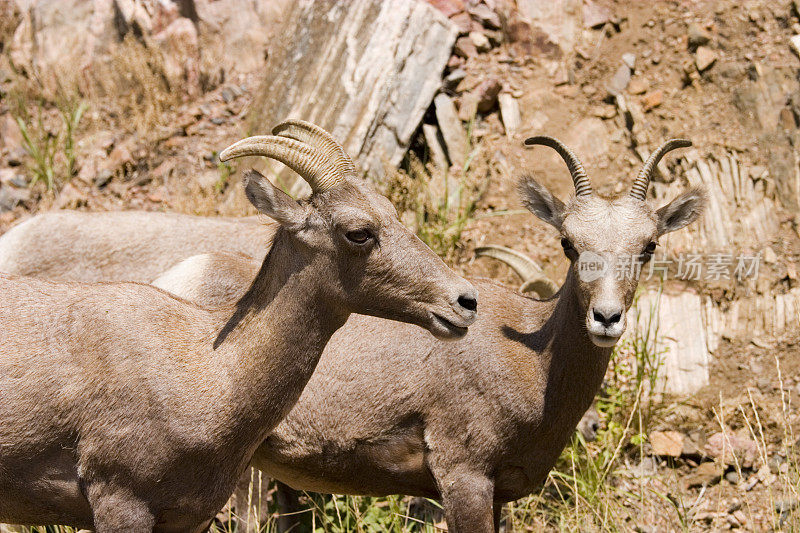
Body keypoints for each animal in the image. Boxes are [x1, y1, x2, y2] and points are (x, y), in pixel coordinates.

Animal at [0, 120, 476, 532]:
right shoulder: (120, 503)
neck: (212, 372)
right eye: (358, 232)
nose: (465, 302)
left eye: (393, 213)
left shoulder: (189, 518)